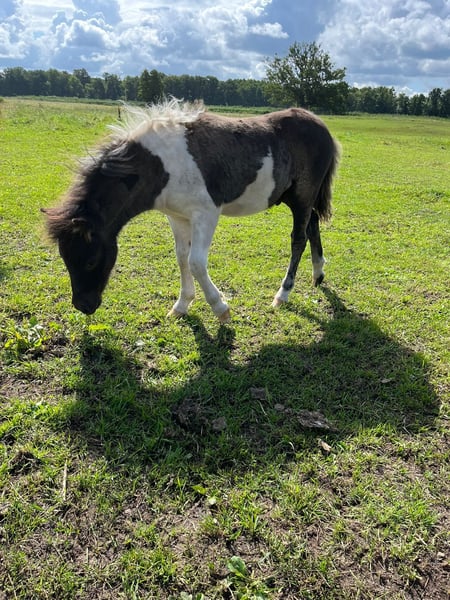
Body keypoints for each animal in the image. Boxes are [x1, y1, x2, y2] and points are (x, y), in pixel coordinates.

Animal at [42, 99, 340, 323]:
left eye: (91, 261)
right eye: (65, 258)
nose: (83, 306)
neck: (161, 165)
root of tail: (321, 126)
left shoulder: (206, 214)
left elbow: (196, 262)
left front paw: (220, 309)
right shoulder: (177, 216)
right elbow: (182, 258)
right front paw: (182, 305)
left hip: (302, 196)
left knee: (298, 239)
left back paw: (283, 294)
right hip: (295, 198)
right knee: (313, 225)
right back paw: (318, 274)